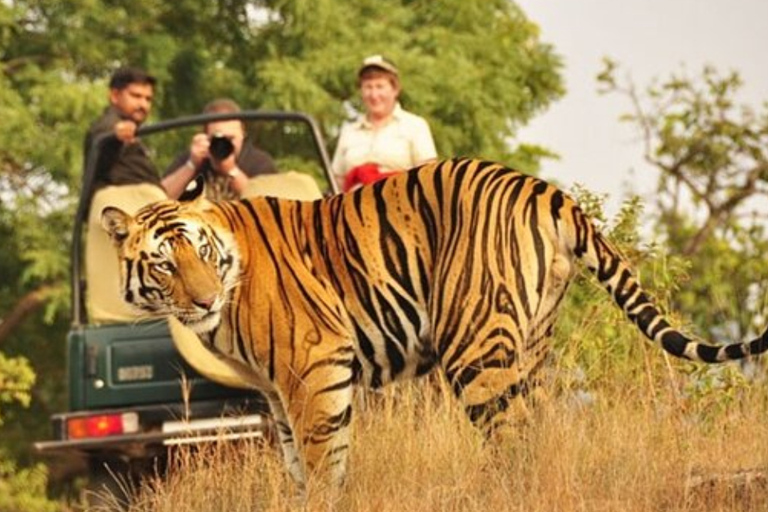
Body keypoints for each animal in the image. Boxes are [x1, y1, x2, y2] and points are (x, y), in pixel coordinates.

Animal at [100, 158, 768, 486]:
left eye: (200, 252)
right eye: (165, 263)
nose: (204, 301)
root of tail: (546, 190)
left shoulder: (314, 366)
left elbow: (322, 462)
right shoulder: (276, 391)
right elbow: (297, 465)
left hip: (474, 345)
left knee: (511, 439)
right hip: (531, 344)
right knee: (537, 432)